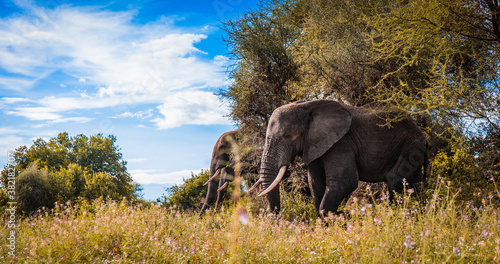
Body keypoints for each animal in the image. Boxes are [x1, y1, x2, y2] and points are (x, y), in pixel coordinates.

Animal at [250, 99, 430, 217]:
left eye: (287, 136)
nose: (276, 219)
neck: (306, 107)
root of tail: (423, 135)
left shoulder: (341, 143)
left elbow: (344, 181)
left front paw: (340, 216)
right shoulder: (315, 144)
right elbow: (315, 183)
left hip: (410, 147)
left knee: (395, 180)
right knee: (413, 184)